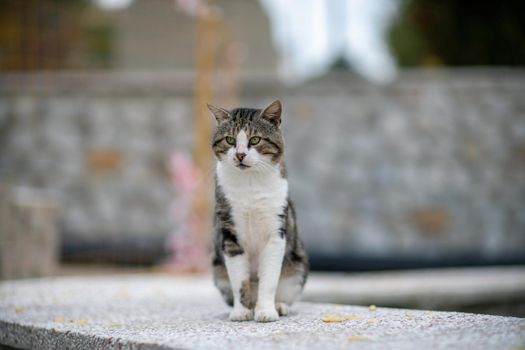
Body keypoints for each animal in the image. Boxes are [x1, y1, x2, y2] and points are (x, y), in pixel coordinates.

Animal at [208, 100, 308, 322]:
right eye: (229, 140)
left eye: (255, 140)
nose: (240, 155)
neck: (250, 182)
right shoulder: (230, 234)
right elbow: (239, 281)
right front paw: (241, 311)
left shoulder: (276, 232)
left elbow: (269, 279)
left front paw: (266, 311)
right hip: (218, 272)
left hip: (297, 268)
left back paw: (278, 306)